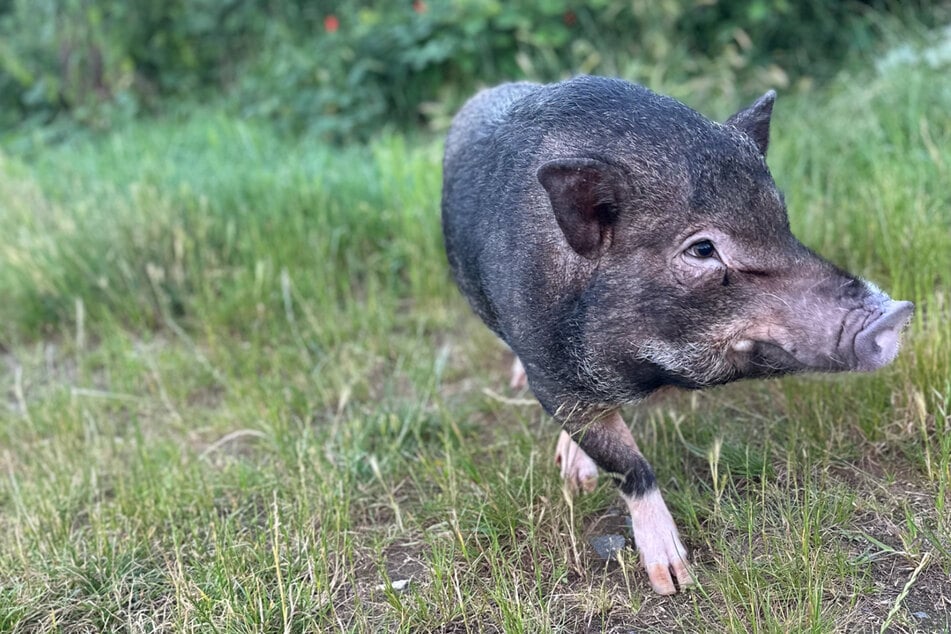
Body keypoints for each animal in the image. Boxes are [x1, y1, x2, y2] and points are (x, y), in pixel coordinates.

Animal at [440, 76, 916, 596]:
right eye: (702, 249)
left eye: (783, 226)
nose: (896, 313)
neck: (643, 374)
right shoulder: (550, 374)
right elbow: (629, 464)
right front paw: (674, 580)